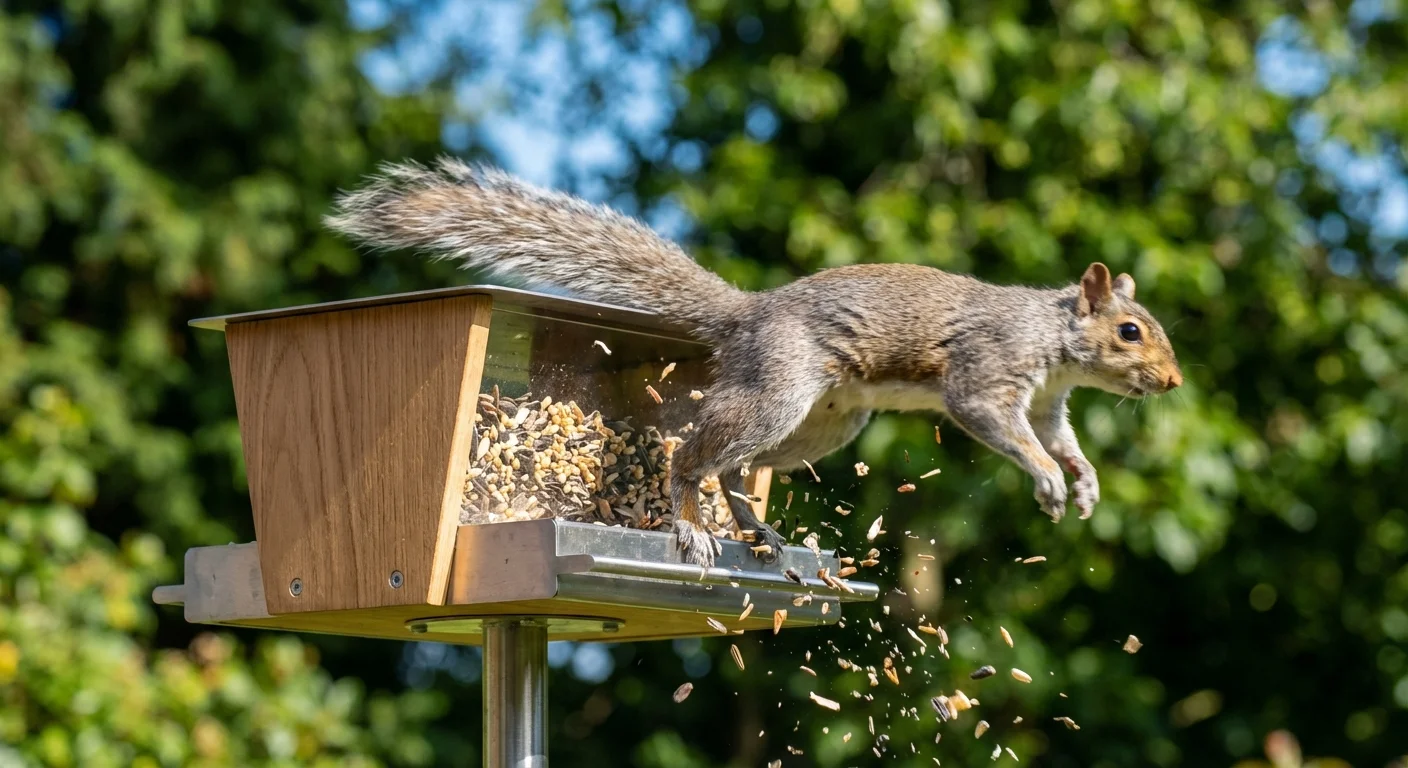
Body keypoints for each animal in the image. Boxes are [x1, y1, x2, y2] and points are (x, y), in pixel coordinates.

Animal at [326, 157, 1184, 569]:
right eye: (1131, 331)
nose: (1173, 381)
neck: (1050, 340)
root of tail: (747, 317)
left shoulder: (1047, 402)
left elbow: (1064, 439)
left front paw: (1084, 481)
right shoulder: (987, 375)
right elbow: (996, 424)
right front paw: (1045, 479)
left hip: (825, 424)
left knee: (736, 468)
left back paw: (756, 530)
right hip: (778, 391)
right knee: (693, 456)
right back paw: (688, 523)